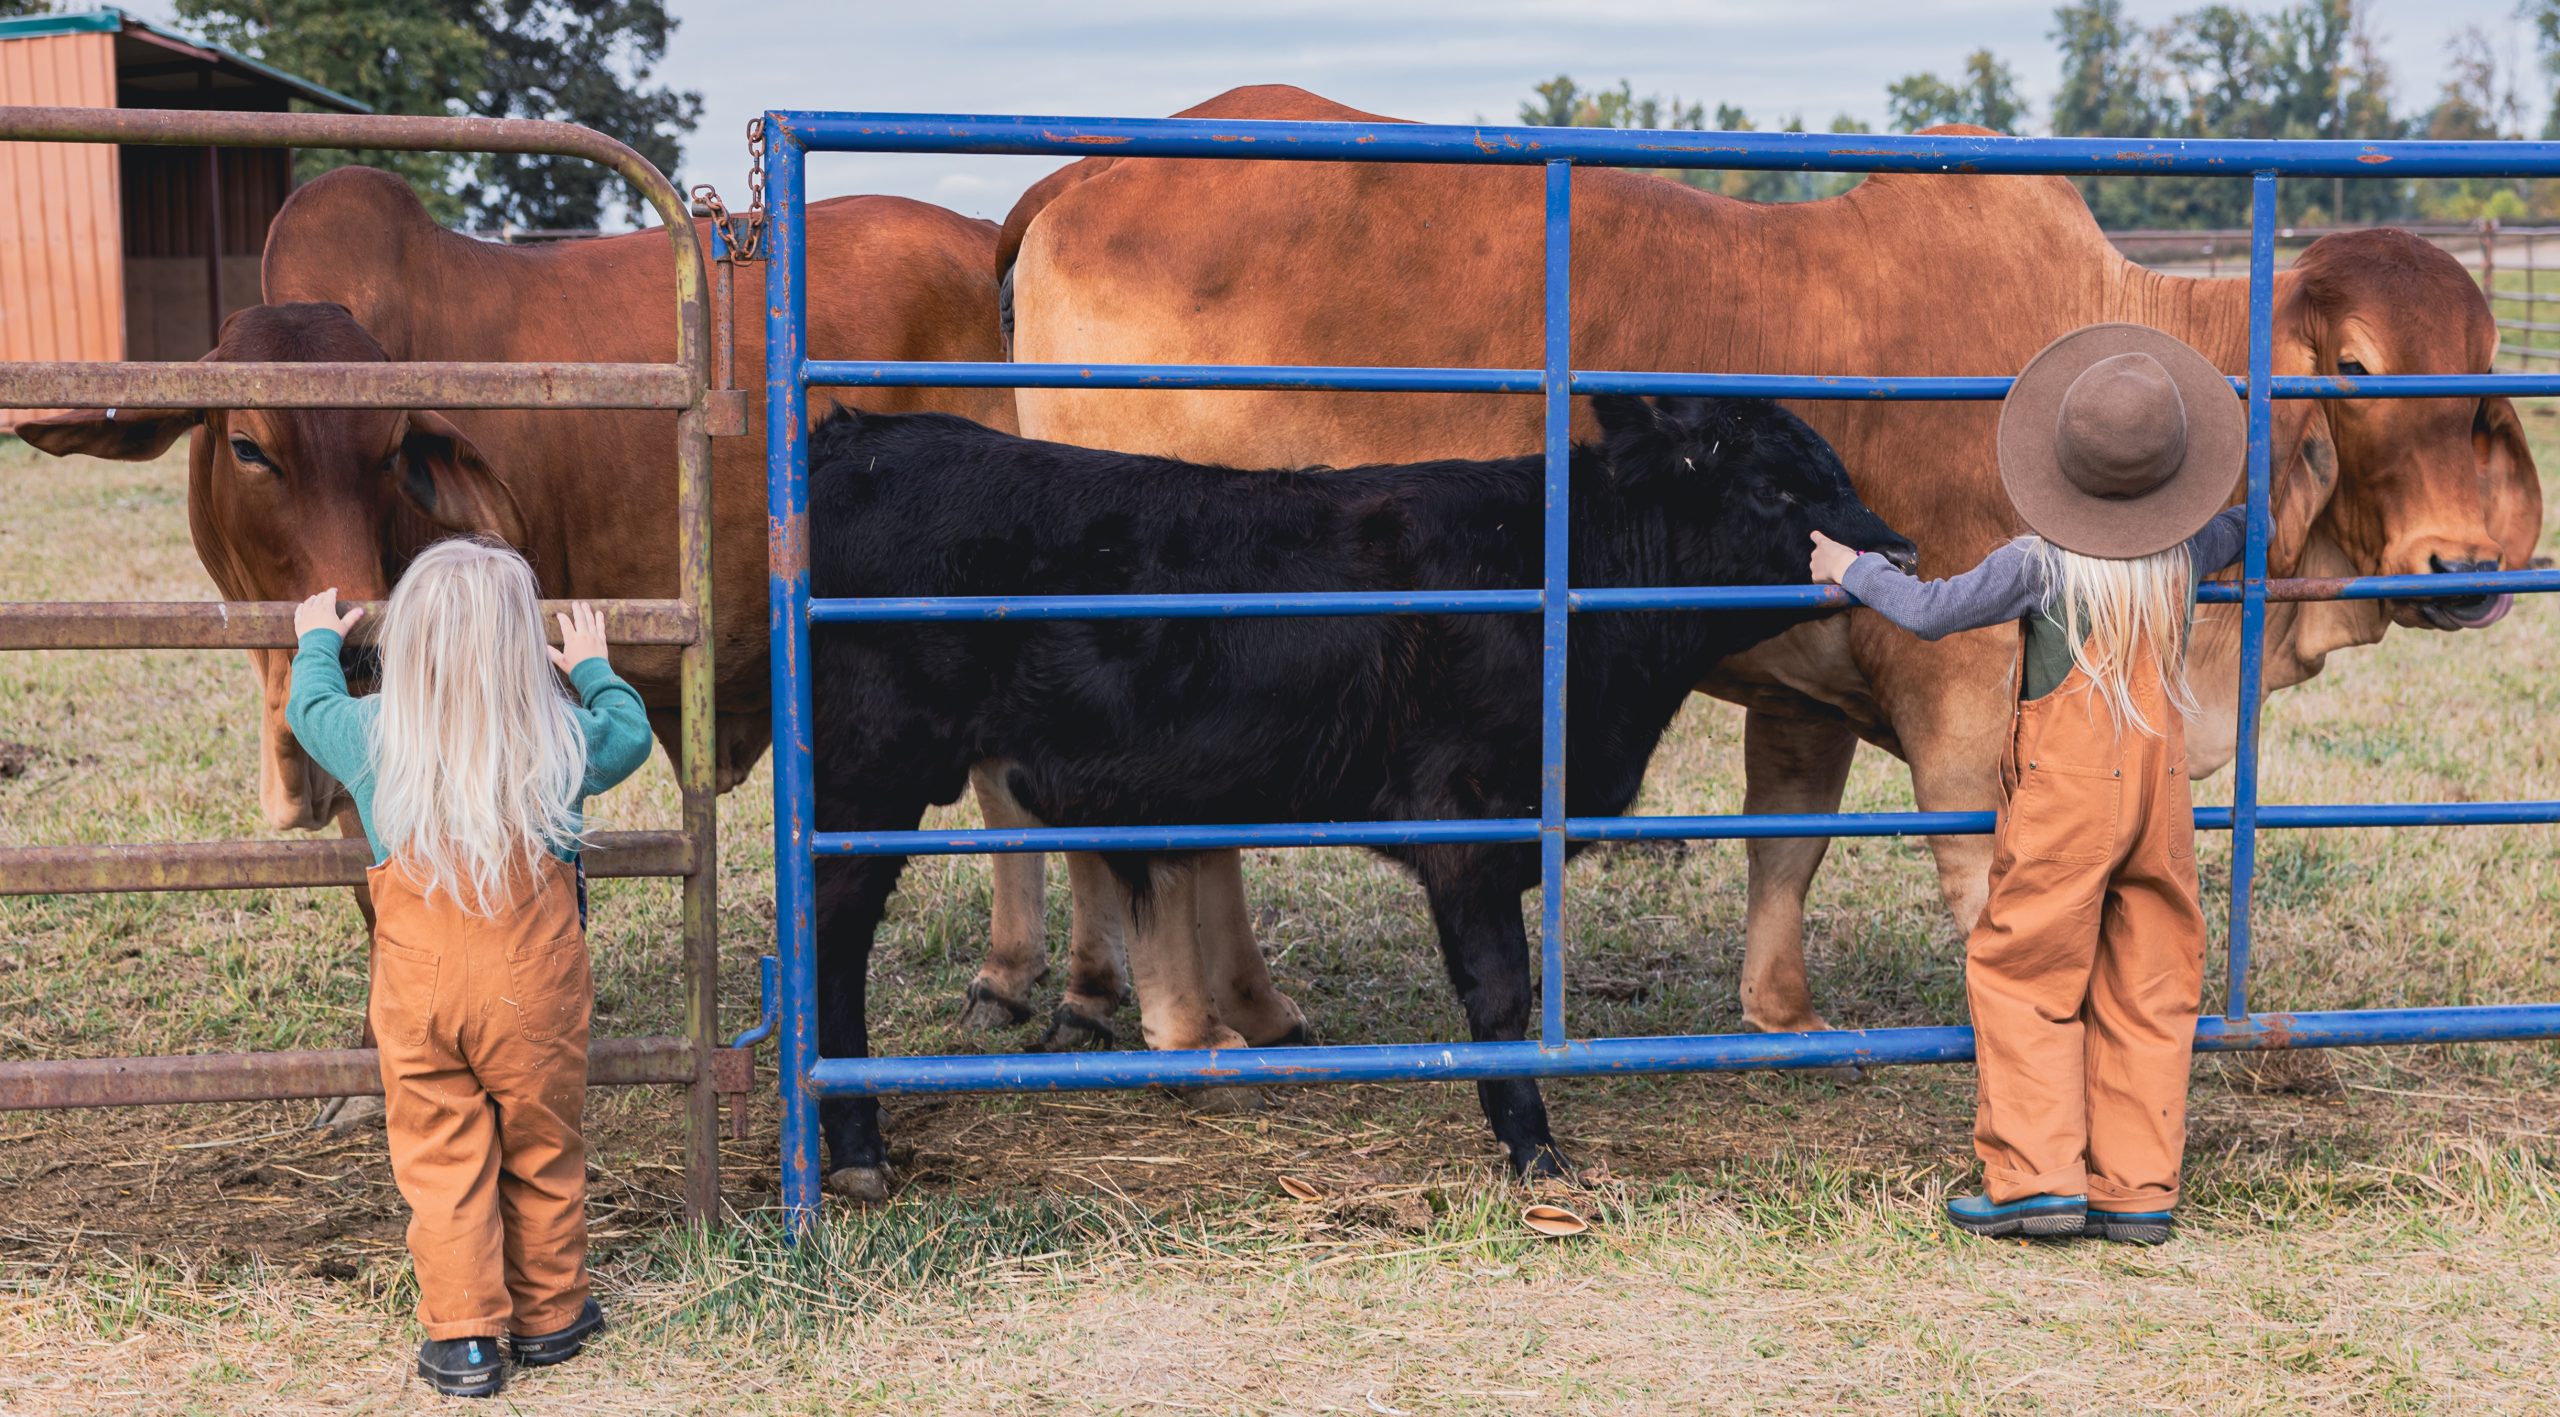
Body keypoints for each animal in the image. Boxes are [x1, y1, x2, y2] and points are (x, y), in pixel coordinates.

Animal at [808, 391, 1914, 1186]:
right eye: (1774, 490)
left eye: (1837, 472)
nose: (1899, 549)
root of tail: (859, 436)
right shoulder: (1465, 817)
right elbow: (1501, 996)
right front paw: (1534, 1151)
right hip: (867, 779)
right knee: (832, 938)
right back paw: (856, 1147)